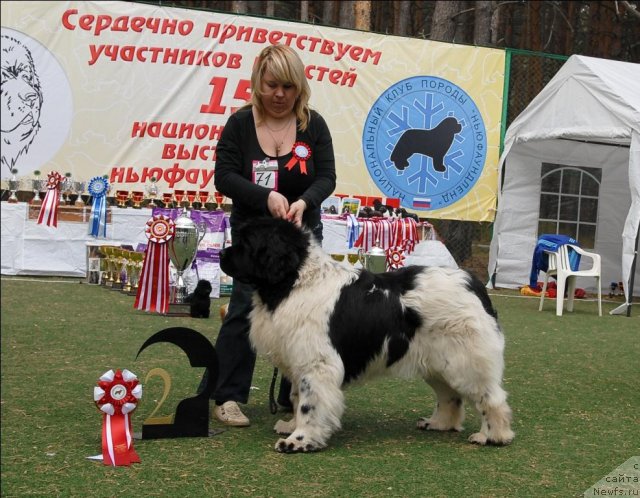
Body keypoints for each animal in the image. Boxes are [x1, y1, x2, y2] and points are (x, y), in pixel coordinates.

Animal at [220, 217, 516, 452]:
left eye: (246, 243)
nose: (221, 254)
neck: (295, 281)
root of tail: (474, 285)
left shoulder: (317, 364)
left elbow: (308, 403)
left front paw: (300, 440)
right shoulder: (298, 359)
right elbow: (296, 398)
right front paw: (291, 425)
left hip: (465, 362)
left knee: (491, 398)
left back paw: (493, 436)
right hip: (439, 362)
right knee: (449, 396)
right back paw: (439, 424)